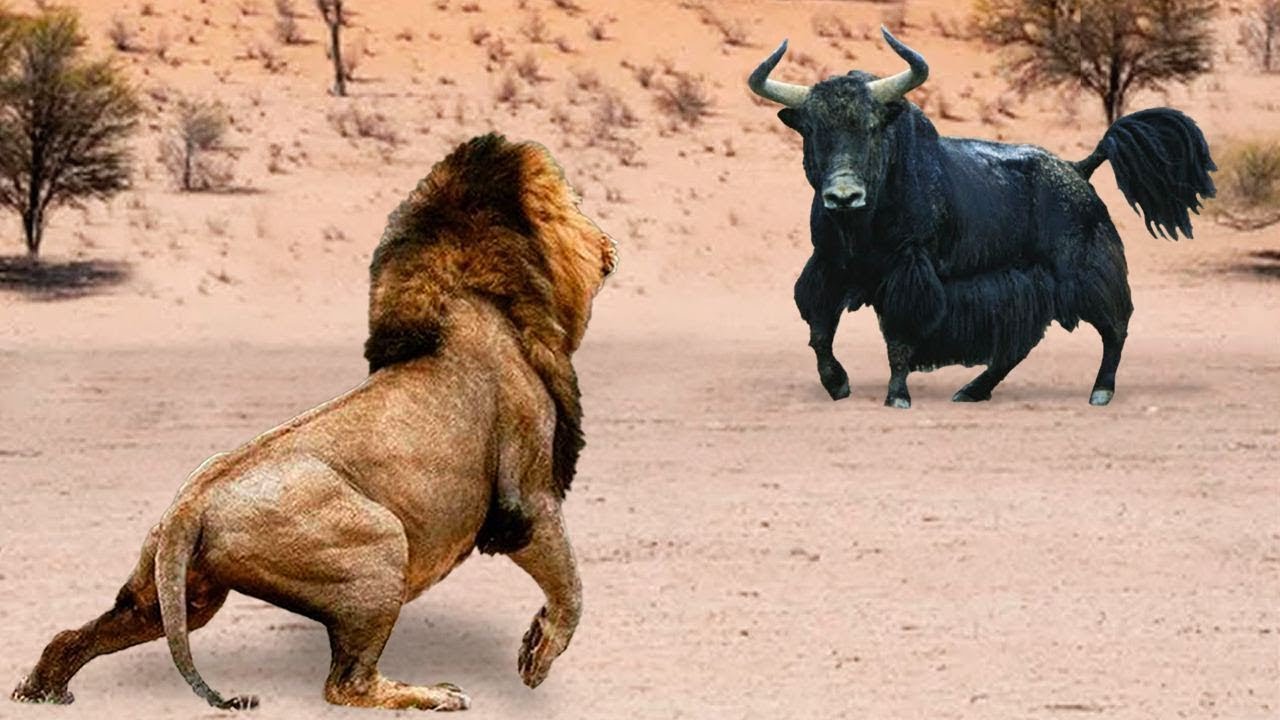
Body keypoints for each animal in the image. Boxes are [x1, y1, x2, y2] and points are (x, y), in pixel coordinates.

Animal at [10, 134, 617, 711]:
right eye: (576, 202)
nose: (610, 245)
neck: (476, 294)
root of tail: (191, 504)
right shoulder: (527, 500)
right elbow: (571, 586)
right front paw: (537, 656)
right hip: (380, 546)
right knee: (346, 684)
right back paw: (434, 696)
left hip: (173, 597)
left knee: (75, 635)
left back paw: (40, 690)